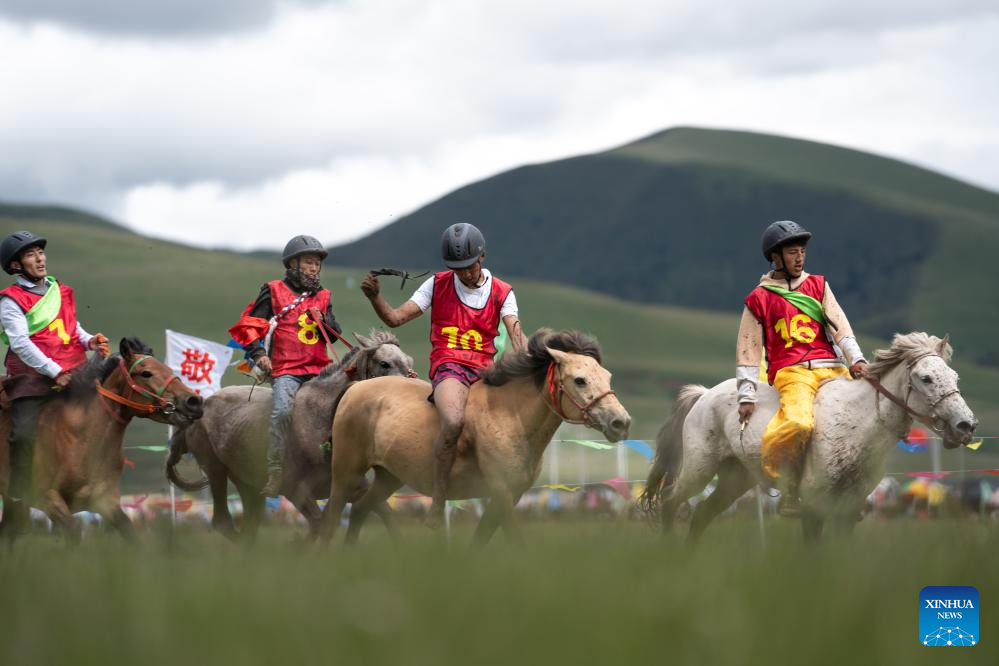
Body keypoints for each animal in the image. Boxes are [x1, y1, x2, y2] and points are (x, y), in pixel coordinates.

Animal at [0, 334, 205, 544]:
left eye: (169, 370)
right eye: (146, 373)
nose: (193, 401)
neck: (81, 441)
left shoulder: (106, 501)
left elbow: (131, 534)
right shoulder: (47, 498)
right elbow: (73, 533)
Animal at [165, 328, 414, 540]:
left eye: (409, 362)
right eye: (384, 363)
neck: (321, 422)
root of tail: (200, 405)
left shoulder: (355, 487)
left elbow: (385, 518)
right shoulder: (297, 491)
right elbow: (320, 524)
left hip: (249, 486)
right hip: (215, 469)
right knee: (224, 522)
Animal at [320, 330, 632, 548]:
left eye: (607, 376)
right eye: (580, 380)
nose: (621, 422)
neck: (510, 416)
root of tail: (355, 389)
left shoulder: (508, 495)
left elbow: (481, 539)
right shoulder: (502, 492)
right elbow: (517, 540)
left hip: (389, 477)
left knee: (360, 509)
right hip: (346, 474)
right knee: (332, 517)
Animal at [644, 332, 980, 540]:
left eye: (954, 376)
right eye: (926, 378)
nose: (966, 425)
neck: (857, 424)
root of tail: (703, 395)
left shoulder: (848, 509)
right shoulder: (813, 505)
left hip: (736, 478)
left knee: (701, 514)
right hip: (699, 470)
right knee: (671, 504)